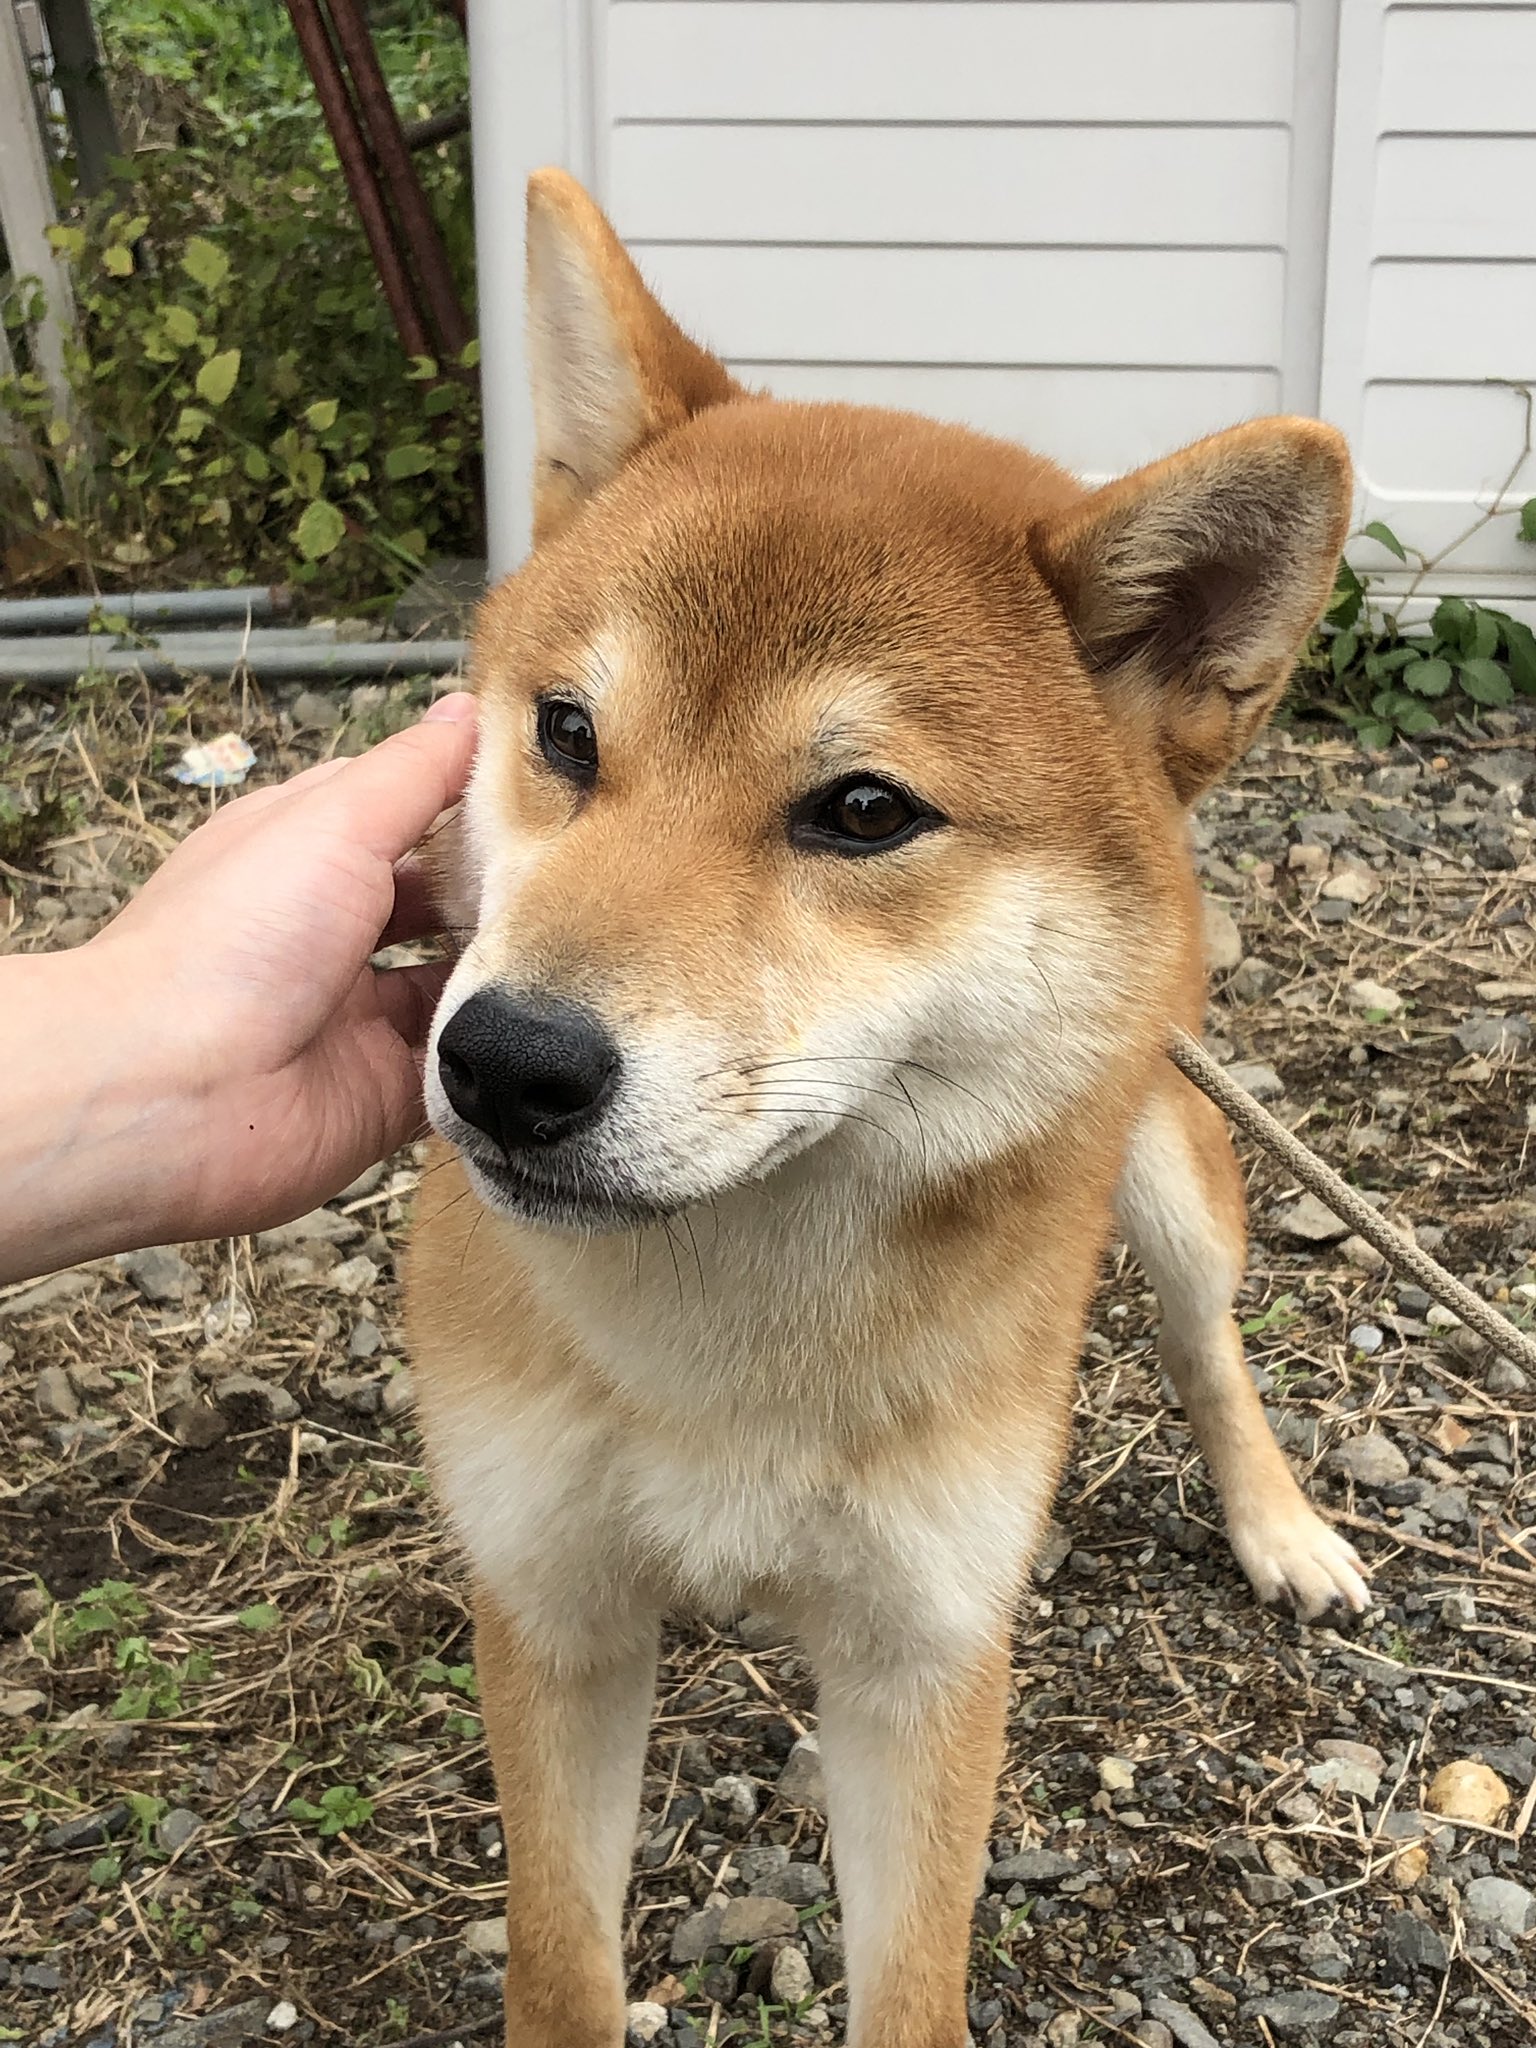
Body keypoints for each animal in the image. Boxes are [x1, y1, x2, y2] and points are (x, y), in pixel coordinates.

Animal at [403, 167, 1368, 2039]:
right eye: (565, 730)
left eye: (861, 809)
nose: (507, 1064)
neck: (721, 1340)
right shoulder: (554, 1609)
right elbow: (562, 1961)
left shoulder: (921, 1665)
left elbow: (910, 1987)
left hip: (1166, 1164)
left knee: (1209, 1345)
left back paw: (1282, 1524)